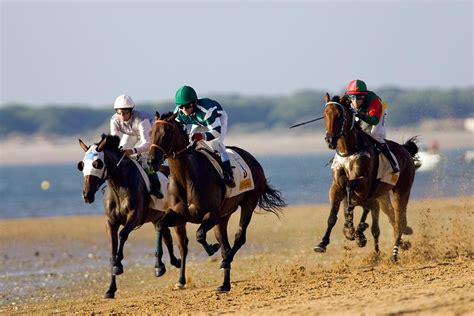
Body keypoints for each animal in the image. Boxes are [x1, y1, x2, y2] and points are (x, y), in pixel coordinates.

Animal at [77, 135, 186, 298]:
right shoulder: (111, 223)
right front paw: (110, 289)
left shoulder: (134, 216)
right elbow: (112, 250)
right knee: (166, 236)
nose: (87, 195)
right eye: (82, 165)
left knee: (182, 244)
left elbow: (122, 235)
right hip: (158, 218)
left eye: (97, 163)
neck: (119, 185)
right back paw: (164, 265)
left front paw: (118, 265)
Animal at [148, 111, 286, 292]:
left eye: (167, 133)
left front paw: (211, 248)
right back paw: (225, 284)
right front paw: (159, 267)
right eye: (151, 133)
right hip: (223, 217)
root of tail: (253, 160)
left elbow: (199, 235)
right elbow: (161, 226)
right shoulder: (180, 215)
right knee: (225, 246)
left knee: (239, 237)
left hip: (248, 203)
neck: (186, 178)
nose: (151, 161)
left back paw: (226, 262)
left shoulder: (211, 215)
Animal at [314, 94, 418, 262]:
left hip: (402, 191)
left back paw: (394, 254)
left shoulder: (364, 185)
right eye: (325, 115)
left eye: (339, 115)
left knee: (398, 222)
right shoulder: (336, 187)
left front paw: (352, 228)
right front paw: (323, 243)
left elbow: (350, 188)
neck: (348, 150)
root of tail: (406, 150)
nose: (330, 141)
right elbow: (333, 215)